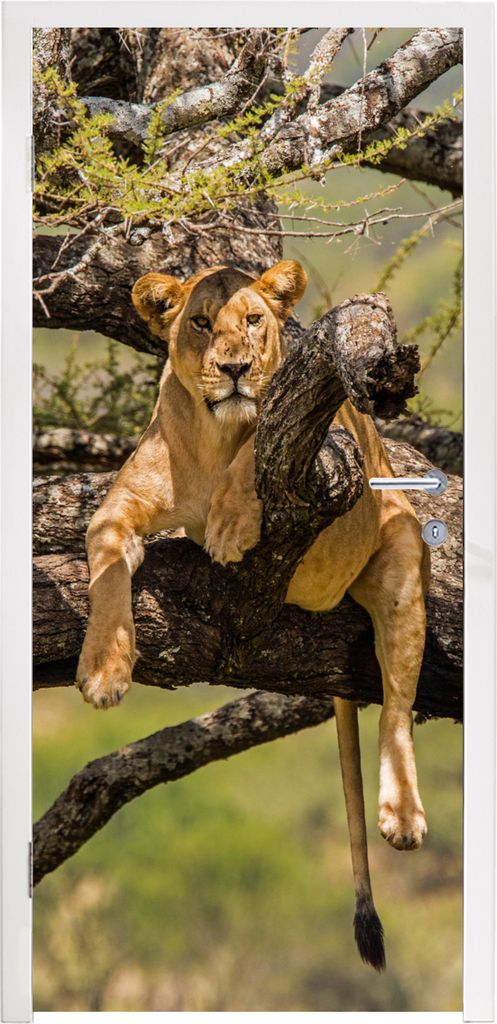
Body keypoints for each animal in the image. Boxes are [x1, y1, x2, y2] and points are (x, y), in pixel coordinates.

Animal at [76, 260, 430, 970]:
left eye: (253, 320)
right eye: (200, 322)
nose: (235, 366)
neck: (213, 438)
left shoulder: (327, 446)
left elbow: (255, 453)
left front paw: (232, 525)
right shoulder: (117, 509)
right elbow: (105, 571)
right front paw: (104, 669)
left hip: (401, 554)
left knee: (398, 706)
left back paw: (402, 815)